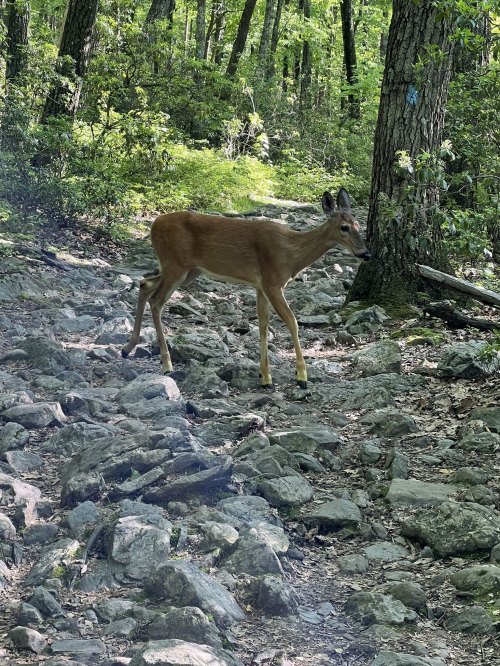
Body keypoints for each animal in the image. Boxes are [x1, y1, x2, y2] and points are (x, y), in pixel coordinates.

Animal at [121, 188, 370, 389]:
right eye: (344, 227)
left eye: (359, 225)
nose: (366, 253)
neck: (292, 254)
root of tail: (153, 224)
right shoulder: (272, 282)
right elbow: (292, 321)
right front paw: (301, 376)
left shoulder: (260, 286)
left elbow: (263, 324)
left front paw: (266, 377)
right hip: (175, 264)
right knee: (156, 300)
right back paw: (166, 363)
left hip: (188, 271)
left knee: (145, 284)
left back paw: (128, 347)